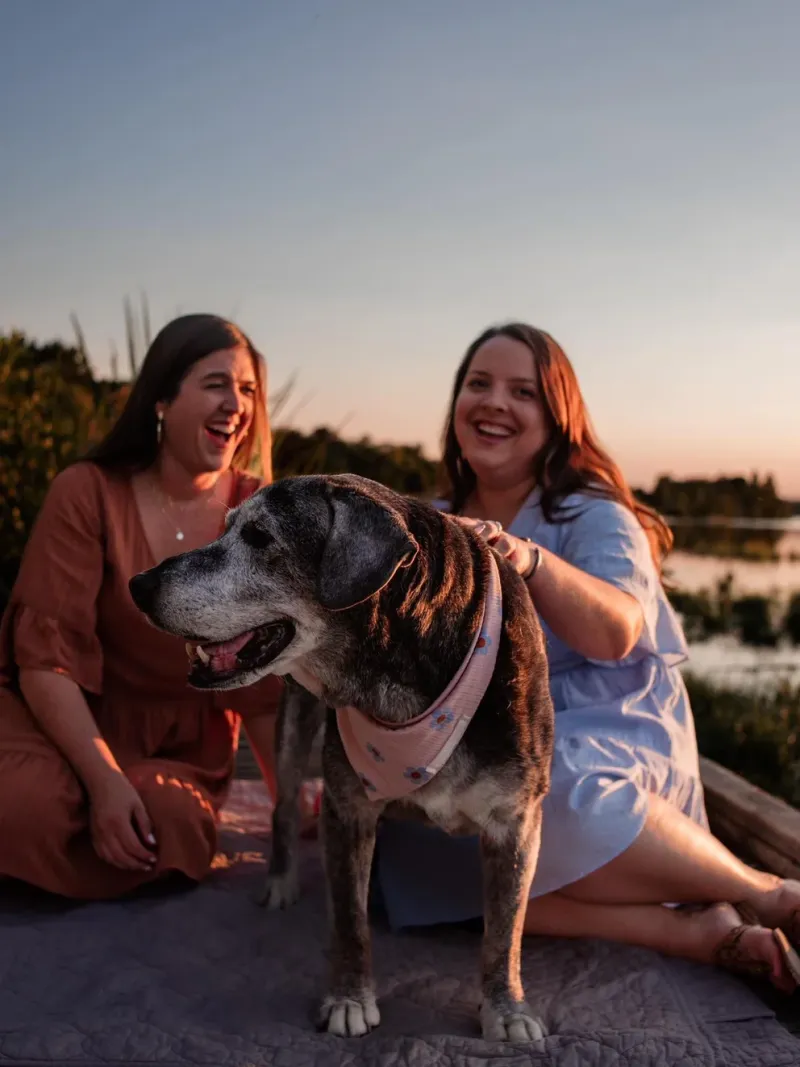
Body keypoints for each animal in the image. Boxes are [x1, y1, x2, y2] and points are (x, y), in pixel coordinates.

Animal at [131, 473, 558, 1041]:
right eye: (226, 530)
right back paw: (283, 881)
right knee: (285, 807)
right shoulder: (348, 807)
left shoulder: (517, 821)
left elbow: (504, 931)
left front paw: (506, 1009)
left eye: (259, 537)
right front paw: (349, 998)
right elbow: (351, 922)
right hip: (294, 730)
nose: (139, 585)